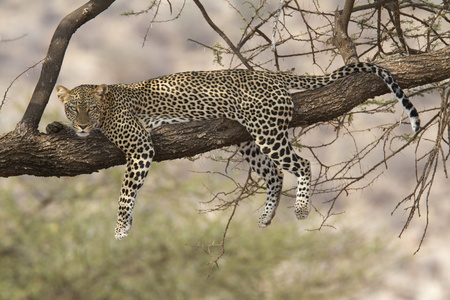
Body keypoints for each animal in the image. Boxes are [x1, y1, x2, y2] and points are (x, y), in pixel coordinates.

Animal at [51, 62, 418, 240]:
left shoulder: (140, 147)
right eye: (71, 108)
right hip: (247, 141)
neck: (108, 106)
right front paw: (56, 128)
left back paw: (300, 208)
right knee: (274, 174)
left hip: (268, 134)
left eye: (90, 109)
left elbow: (126, 193)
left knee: (302, 164)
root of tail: (271, 76)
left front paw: (120, 228)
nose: (81, 125)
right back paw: (267, 215)